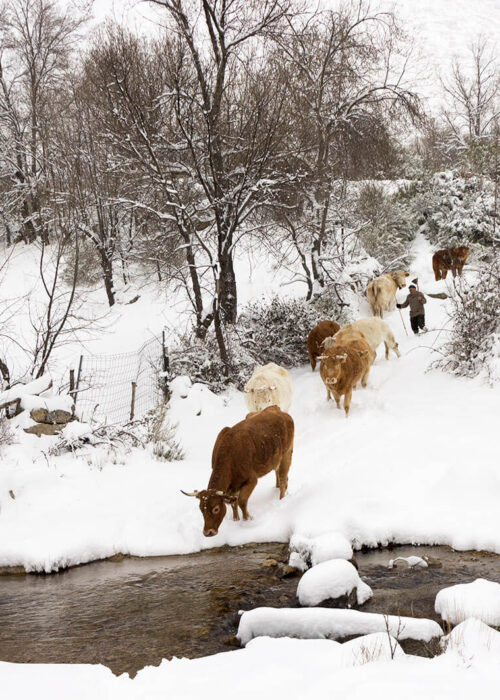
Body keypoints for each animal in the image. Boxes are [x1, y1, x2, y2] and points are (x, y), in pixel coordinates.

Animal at [183, 404, 292, 536]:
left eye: (216, 509)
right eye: (201, 509)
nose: (208, 532)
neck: (230, 454)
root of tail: (276, 408)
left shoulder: (251, 480)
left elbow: (242, 501)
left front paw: (247, 519)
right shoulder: (232, 486)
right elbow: (233, 503)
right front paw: (235, 519)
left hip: (287, 453)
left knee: (283, 478)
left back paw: (281, 500)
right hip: (277, 459)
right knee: (280, 475)